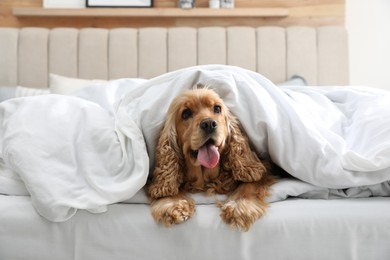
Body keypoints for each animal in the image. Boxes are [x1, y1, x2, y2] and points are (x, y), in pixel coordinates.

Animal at [147, 84, 274, 231]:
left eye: (217, 108)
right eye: (186, 113)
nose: (208, 124)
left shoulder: (263, 167)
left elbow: (250, 183)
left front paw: (239, 207)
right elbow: (165, 189)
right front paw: (173, 203)